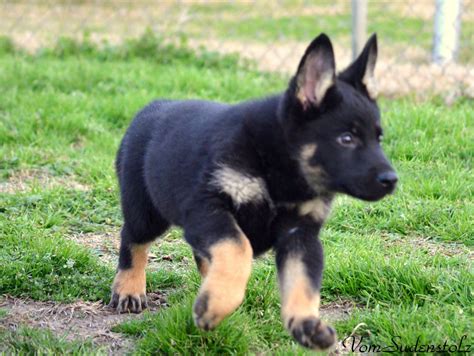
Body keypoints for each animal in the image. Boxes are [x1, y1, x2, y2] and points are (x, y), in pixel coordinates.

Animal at [108, 33, 396, 350]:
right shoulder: (208, 207)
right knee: (133, 239)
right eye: (346, 139)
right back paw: (130, 289)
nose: (392, 180)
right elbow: (238, 246)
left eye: (379, 138)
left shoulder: (300, 235)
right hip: (147, 214)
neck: (279, 165)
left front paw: (305, 324)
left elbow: (303, 281)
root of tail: (151, 109)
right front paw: (218, 302)